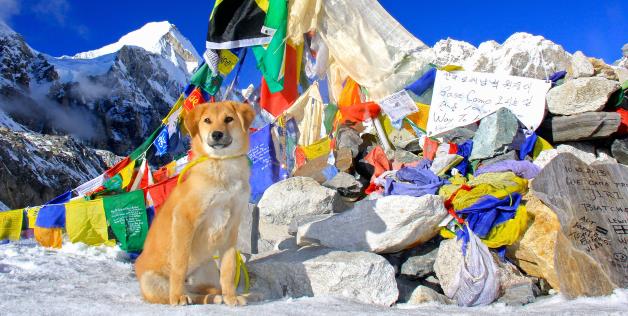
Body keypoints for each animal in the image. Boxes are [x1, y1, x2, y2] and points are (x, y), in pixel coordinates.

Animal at [135, 101, 255, 306]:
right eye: (207, 120)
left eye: (228, 119)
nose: (216, 134)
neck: (222, 166)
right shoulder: (185, 218)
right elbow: (180, 263)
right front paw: (177, 297)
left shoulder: (232, 227)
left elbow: (229, 269)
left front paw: (231, 297)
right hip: (151, 281)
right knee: (186, 292)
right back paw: (181, 295)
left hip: (207, 268)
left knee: (203, 292)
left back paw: (218, 297)